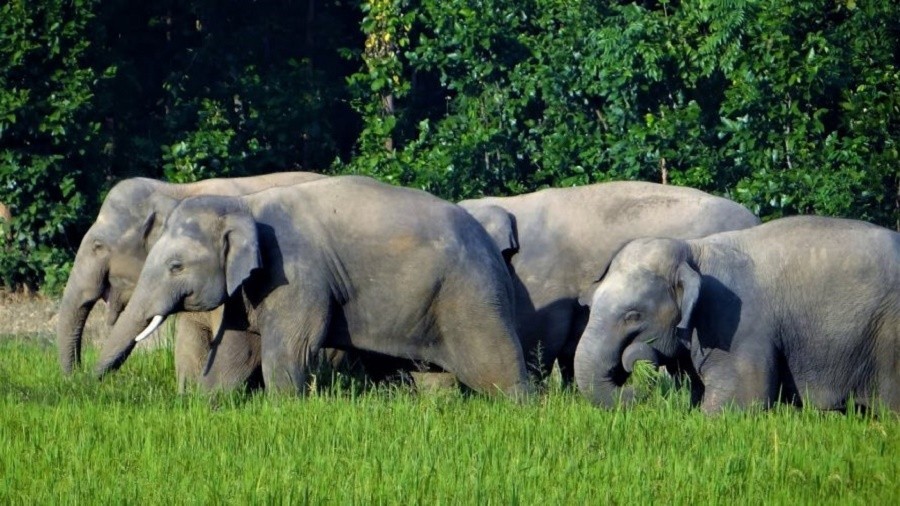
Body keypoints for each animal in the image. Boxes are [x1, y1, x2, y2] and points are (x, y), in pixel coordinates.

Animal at [95, 176, 532, 398]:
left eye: (176, 266)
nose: (87, 386)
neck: (247, 206)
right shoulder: (251, 285)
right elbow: (237, 349)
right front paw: (208, 406)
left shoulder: (295, 273)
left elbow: (289, 348)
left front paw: (285, 411)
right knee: (432, 375)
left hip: (469, 295)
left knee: (495, 367)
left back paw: (523, 411)